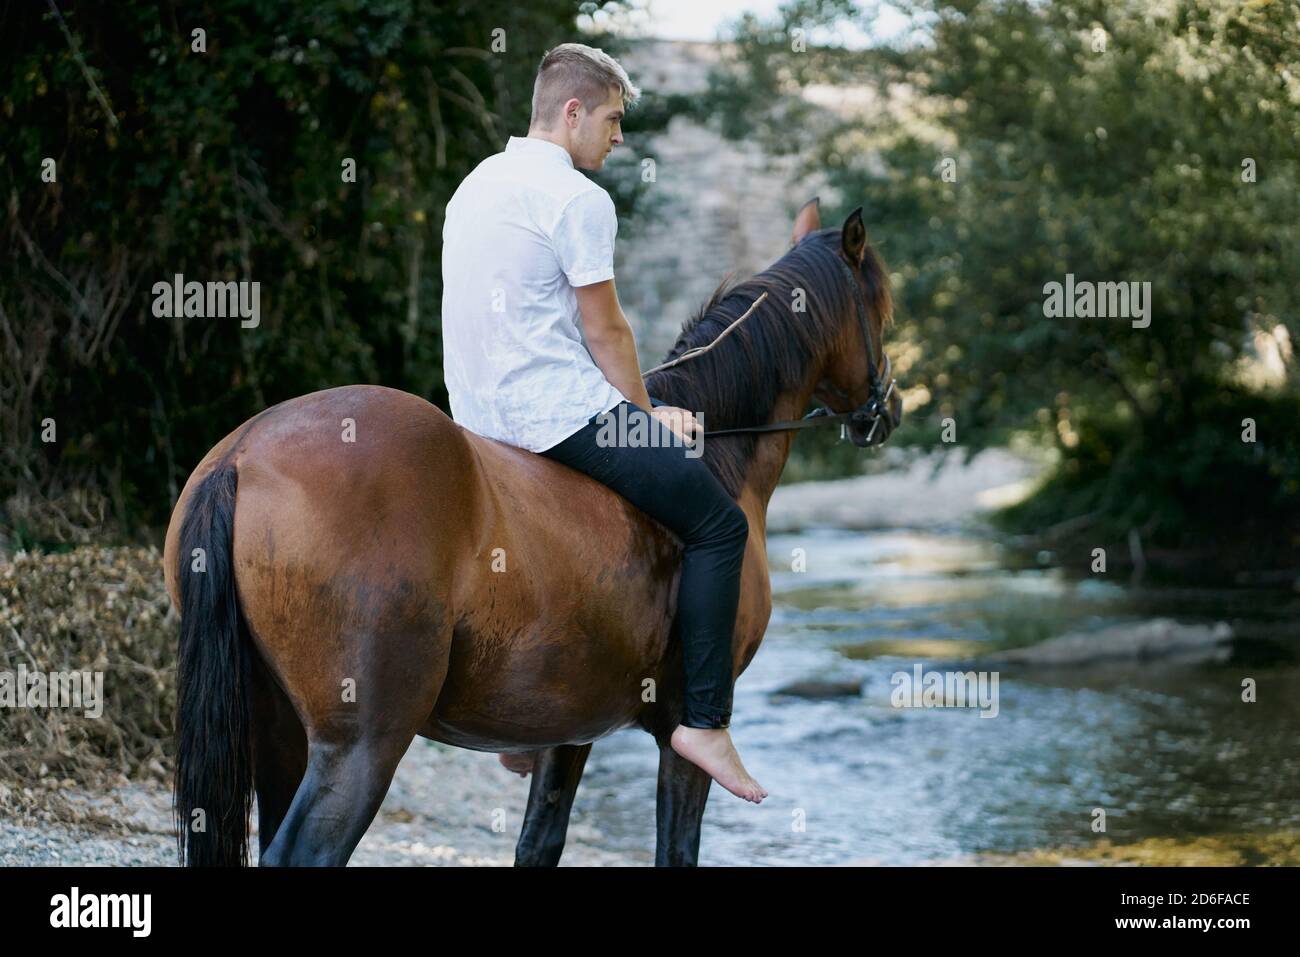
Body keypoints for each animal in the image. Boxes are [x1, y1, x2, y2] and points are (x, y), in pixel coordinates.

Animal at [162, 197, 902, 866]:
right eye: (882, 309)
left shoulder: (568, 726)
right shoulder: (678, 732)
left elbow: (538, 844)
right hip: (360, 745)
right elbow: (676, 849)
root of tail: (243, 456)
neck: (718, 452)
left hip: (279, 732)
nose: (889, 408)